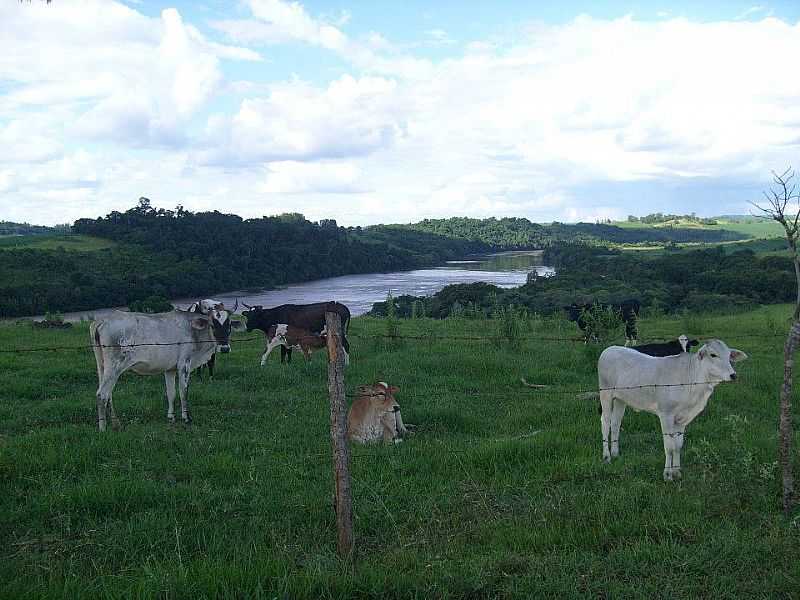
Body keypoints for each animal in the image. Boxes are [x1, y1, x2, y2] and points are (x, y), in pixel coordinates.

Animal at [596, 340, 748, 480]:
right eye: (713, 354)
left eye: (729, 356)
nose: (733, 375)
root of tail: (610, 349)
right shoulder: (666, 415)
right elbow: (669, 446)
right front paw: (667, 474)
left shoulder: (683, 419)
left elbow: (678, 445)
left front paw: (677, 471)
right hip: (606, 394)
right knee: (605, 423)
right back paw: (606, 456)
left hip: (621, 399)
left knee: (616, 423)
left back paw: (615, 453)